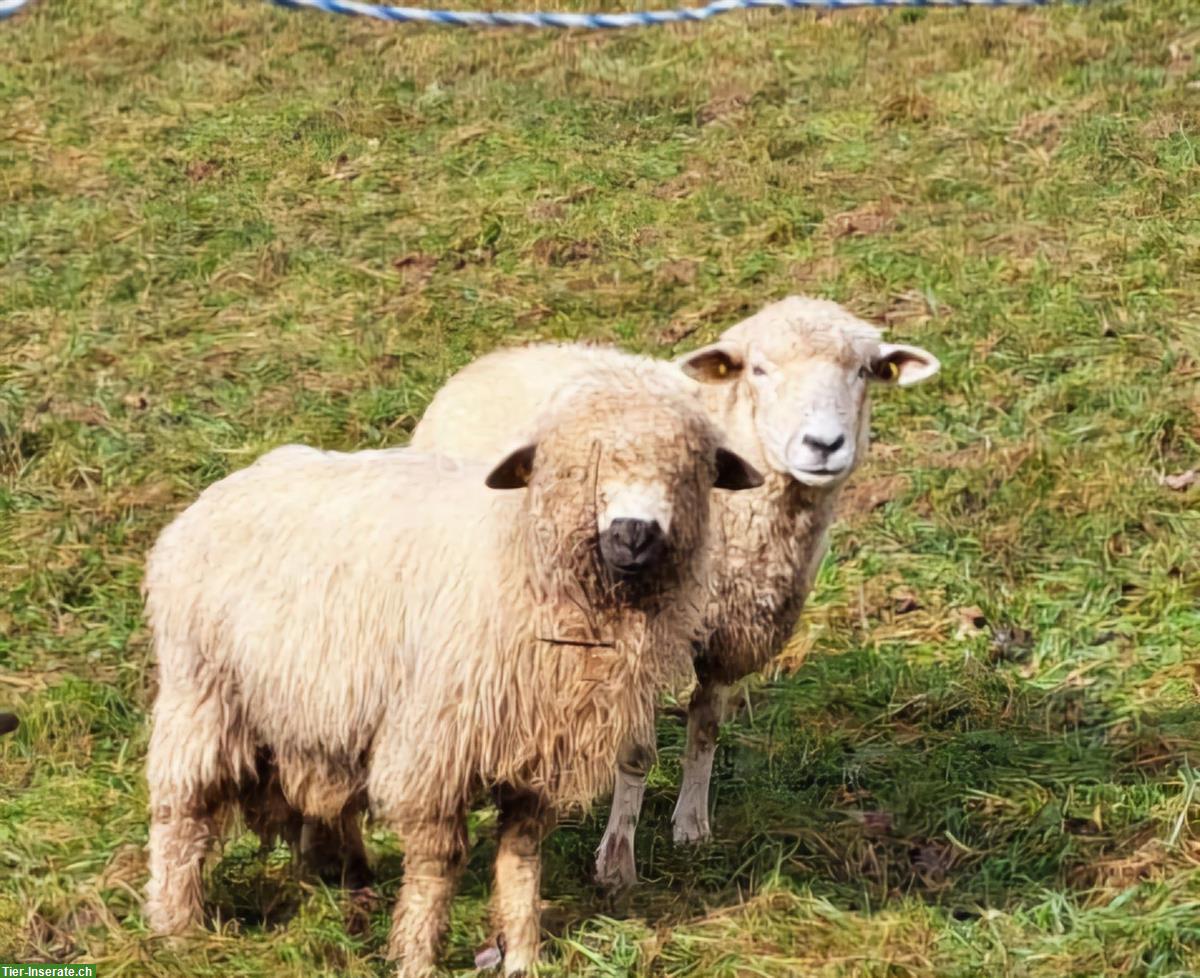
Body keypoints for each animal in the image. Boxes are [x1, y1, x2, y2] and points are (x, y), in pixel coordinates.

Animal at [140, 362, 758, 974]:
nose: (633, 534)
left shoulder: (537, 749)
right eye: (575, 468)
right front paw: (417, 956)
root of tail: (224, 487)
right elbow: (438, 864)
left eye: (689, 469)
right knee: (181, 810)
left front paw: (523, 954)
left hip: (313, 709)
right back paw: (176, 927)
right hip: (202, 693)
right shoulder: (435, 748)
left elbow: (521, 857)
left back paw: (344, 873)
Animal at [408, 292, 940, 888]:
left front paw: (691, 827)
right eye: (758, 370)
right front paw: (617, 860)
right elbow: (636, 752)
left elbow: (705, 728)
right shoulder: (639, 639)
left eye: (864, 372)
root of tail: (494, 358)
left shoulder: (727, 632)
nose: (823, 446)